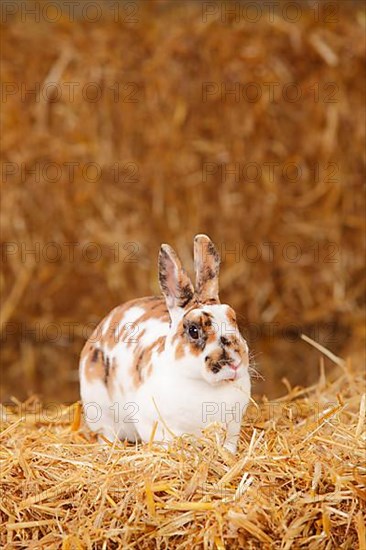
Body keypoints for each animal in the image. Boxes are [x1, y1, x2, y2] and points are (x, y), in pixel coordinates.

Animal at [79, 235, 252, 454]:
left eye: (233, 318)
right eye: (193, 330)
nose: (236, 363)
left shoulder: (233, 426)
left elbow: (229, 445)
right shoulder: (155, 424)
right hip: (100, 412)